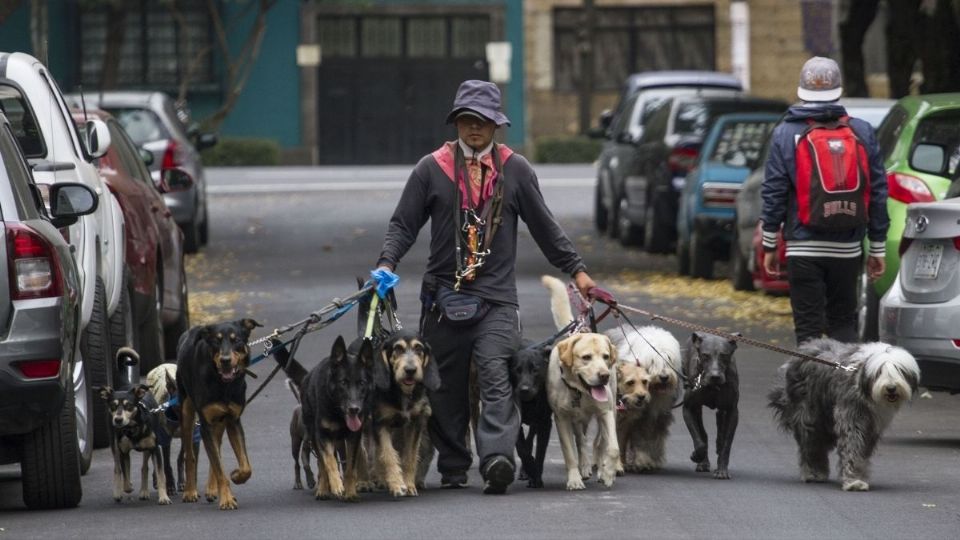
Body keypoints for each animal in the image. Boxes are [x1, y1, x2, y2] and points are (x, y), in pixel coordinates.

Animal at [177, 318, 260, 512]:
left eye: (236, 340)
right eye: (216, 341)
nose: (225, 360)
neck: (224, 384)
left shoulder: (233, 420)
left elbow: (245, 466)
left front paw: (236, 476)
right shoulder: (206, 424)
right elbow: (218, 466)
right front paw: (227, 500)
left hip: (220, 421)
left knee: (216, 451)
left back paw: (211, 489)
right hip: (186, 409)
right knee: (190, 455)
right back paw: (190, 491)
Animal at [512, 342, 552, 490]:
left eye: (535, 370)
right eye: (517, 370)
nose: (524, 389)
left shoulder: (545, 423)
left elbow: (540, 452)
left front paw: (536, 478)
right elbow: (522, 450)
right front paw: (532, 471)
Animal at [544, 276, 620, 492]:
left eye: (605, 356)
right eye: (586, 357)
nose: (604, 375)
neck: (580, 392)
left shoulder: (606, 412)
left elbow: (612, 447)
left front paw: (608, 473)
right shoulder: (561, 418)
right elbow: (570, 452)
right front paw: (574, 479)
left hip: (608, 409)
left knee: (599, 443)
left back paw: (601, 469)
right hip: (576, 420)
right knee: (581, 441)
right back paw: (584, 467)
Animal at [680, 334, 740, 480]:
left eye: (724, 355)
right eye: (705, 355)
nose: (715, 376)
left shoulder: (732, 411)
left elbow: (727, 443)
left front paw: (722, 470)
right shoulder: (688, 408)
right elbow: (699, 439)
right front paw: (697, 456)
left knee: (720, 422)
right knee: (703, 433)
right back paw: (703, 462)